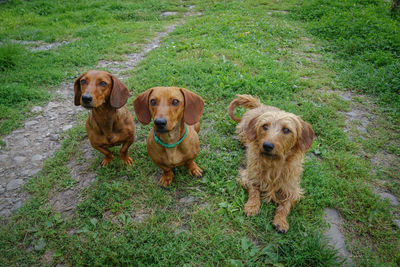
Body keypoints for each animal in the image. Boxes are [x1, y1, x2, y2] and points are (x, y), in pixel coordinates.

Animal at [230, 95, 314, 233]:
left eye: (286, 130)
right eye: (264, 126)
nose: (267, 146)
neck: (274, 163)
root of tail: (261, 106)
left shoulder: (293, 189)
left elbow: (285, 205)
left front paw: (281, 221)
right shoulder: (249, 175)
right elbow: (254, 190)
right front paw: (252, 206)